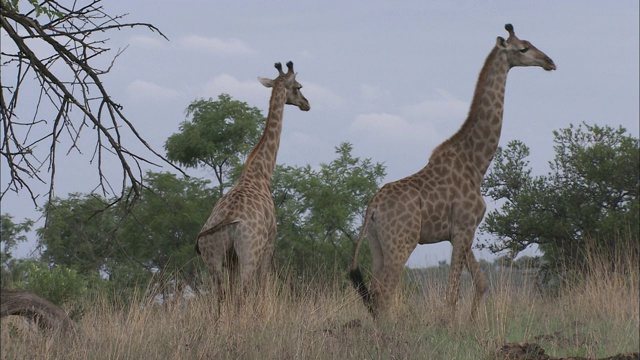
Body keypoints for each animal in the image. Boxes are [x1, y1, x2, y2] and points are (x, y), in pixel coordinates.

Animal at [196, 62, 312, 304]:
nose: (306, 104)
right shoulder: (270, 243)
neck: (260, 173)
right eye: (298, 86)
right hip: (249, 253)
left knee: (221, 295)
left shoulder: (231, 260)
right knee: (245, 291)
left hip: (213, 258)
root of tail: (229, 220)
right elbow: (262, 286)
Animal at [350, 23, 556, 320]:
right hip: (402, 242)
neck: (476, 164)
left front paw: (469, 324)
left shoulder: (462, 232)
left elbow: (480, 283)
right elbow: (452, 293)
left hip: (376, 244)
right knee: (386, 290)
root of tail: (372, 207)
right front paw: (450, 326)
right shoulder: (463, 228)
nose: (549, 62)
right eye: (523, 48)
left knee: (375, 290)